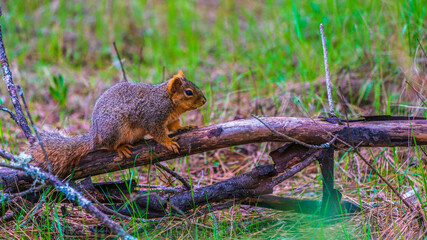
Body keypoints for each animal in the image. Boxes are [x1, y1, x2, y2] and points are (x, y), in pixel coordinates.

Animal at [27, 70, 206, 177]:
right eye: (188, 92)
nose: (204, 100)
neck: (168, 101)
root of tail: (94, 135)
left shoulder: (171, 119)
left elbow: (174, 126)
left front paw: (185, 127)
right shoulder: (153, 117)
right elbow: (158, 133)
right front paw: (168, 142)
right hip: (115, 127)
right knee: (109, 145)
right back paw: (120, 147)